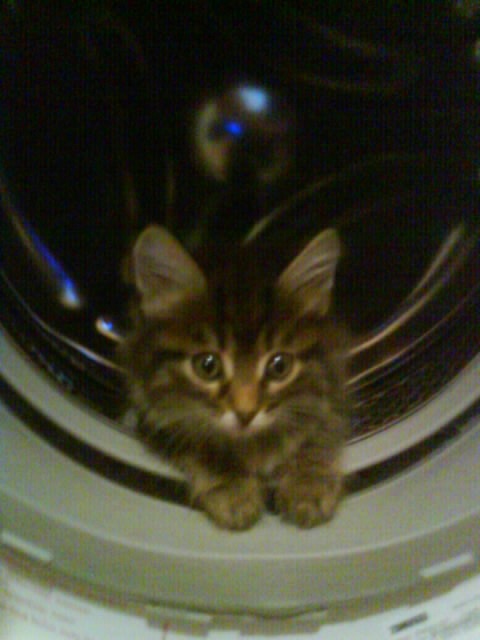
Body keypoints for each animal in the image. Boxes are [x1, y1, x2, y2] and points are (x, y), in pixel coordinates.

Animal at [120, 225, 350, 530]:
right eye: (207, 366)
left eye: (279, 366)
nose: (246, 413)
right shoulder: (150, 411)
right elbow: (201, 445)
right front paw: (233, 490)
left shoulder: (333, 389)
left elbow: (317, 435)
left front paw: (308, 484)